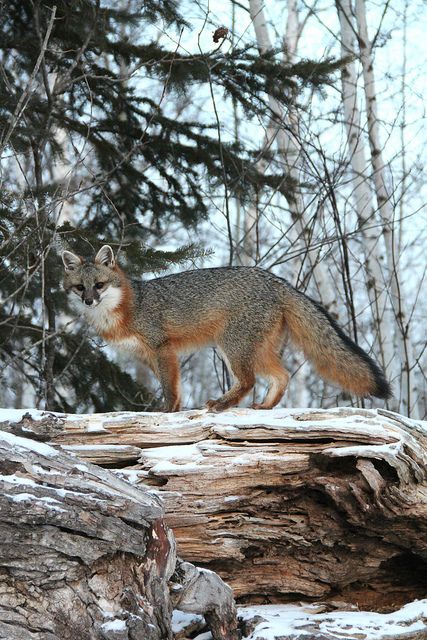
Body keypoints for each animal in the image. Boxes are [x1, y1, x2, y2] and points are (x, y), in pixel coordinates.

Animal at [61, 242, 392, 412]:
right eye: (80, 287)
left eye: (99, 285)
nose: (89, 301)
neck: (128, 307)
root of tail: (276, 280)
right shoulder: (149, 357)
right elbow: (175, 388)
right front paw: (174, 411)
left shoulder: (162, 349)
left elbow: (169, 390)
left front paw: (167, 413)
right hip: (251, 350)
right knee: (281, 376)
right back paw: (264, 408)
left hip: (232, 348)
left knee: (248, 381)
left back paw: (222, 404)